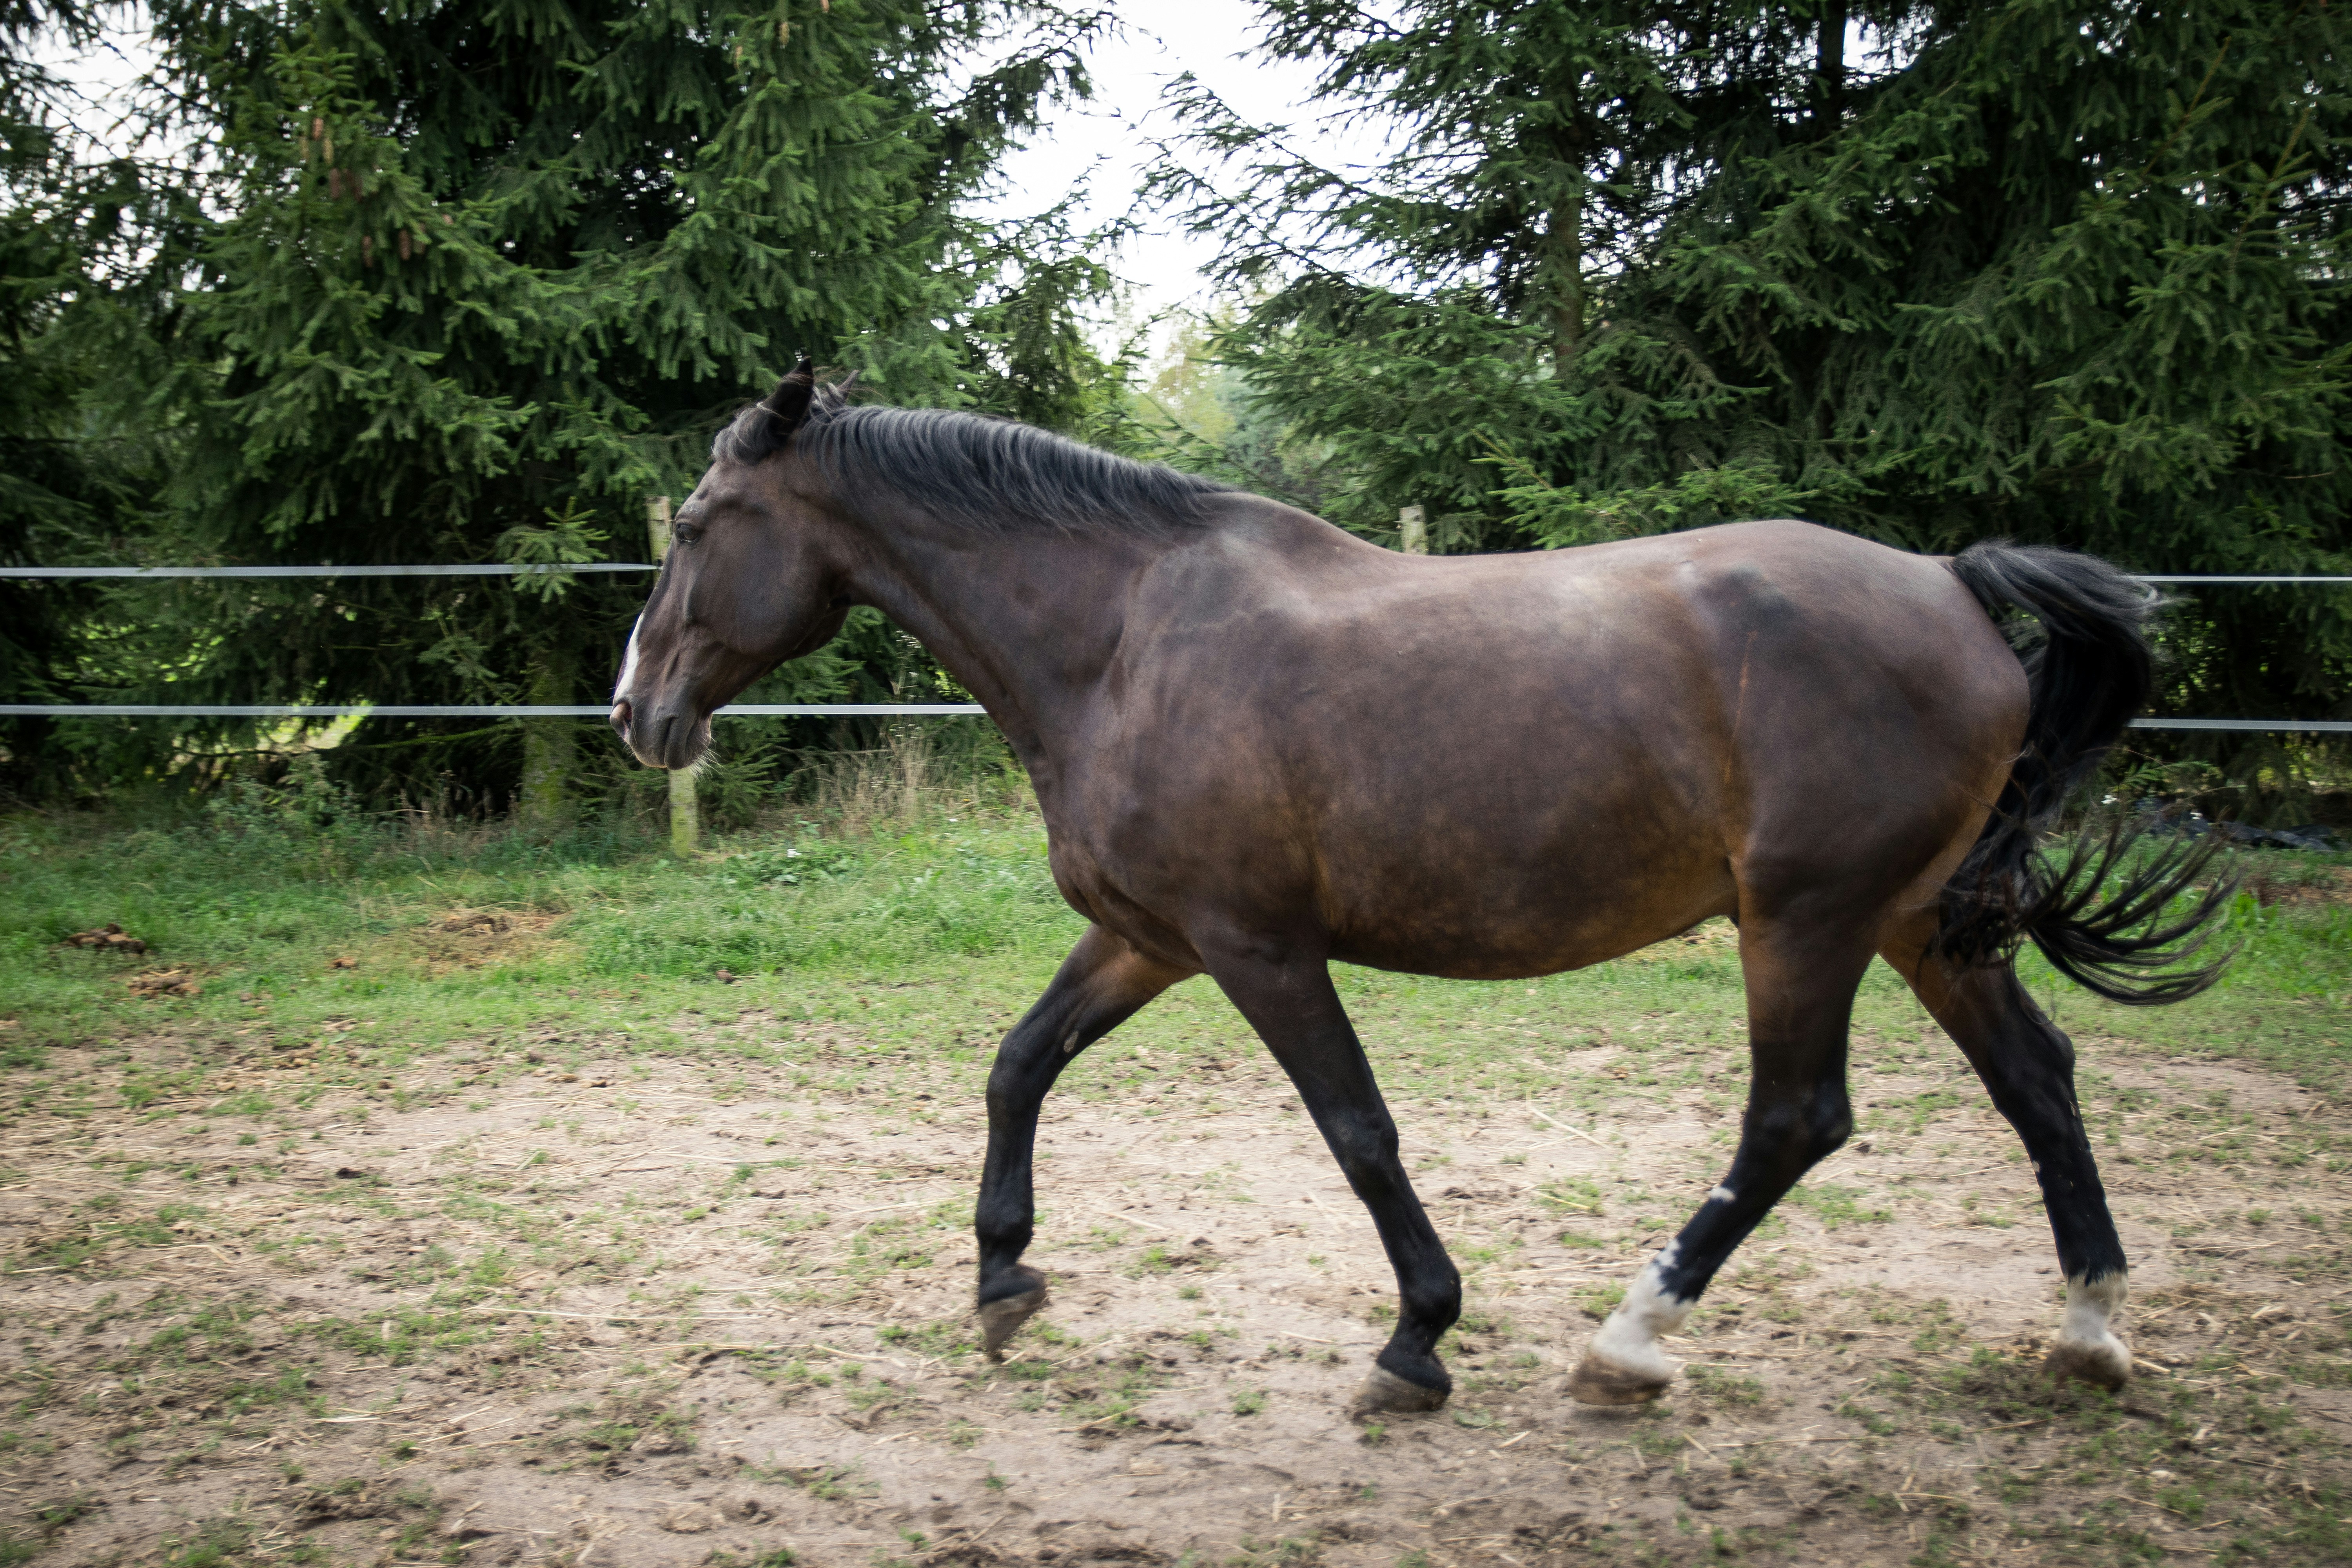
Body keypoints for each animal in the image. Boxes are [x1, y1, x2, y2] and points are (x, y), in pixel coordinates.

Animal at [609, 361, 2231, 1414]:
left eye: (690, 527)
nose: (636, 712)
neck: (1125, 638)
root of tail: (1956, 586)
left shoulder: (1256, 946)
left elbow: (1358, 1131)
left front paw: (1417, 1340)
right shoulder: (1149, 938)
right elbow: (1018, 1064)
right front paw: (1004, 1283)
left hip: (1809, 922)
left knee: (1795, 1119)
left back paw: (1627, 1344)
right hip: (1913, 924)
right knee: (2038, 1077)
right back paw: (2090, 1332)